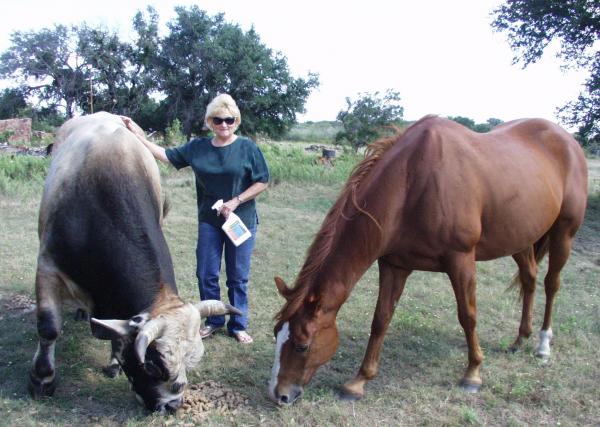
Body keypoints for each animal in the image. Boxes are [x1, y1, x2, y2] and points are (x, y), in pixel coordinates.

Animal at [28, 113, 239, 414]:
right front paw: (42, 380)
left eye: (190, 360)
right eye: (151, 364)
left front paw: (113, 363)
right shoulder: (47, 266)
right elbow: (48, 327)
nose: (171, 406)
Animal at [270, 116, 588, 404]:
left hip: (564, 233)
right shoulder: (394, 265)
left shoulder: (461, 261)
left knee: (551, 284)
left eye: (301, 345)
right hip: (519, 237)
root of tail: (568, 140)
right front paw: (358, 382)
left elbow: (467, 316)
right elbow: (381, 319)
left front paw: (473, 374)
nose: (279, 395)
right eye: (276, 334)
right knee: (530, 279)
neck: (412, 182)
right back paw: (520, 339)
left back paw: (543, 345)